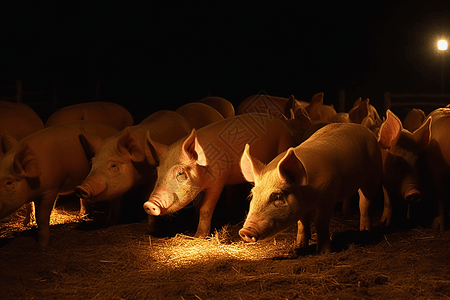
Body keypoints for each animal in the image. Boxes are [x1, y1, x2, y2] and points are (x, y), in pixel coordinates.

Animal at [144, 112, 298, 237]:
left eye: (180, 173)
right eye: (158, 172)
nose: (148, 204)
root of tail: (285, 124)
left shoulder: (218, 182)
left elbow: (205, 209)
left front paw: (199, 237)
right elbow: (197, 208)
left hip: (284, 143)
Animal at [239, 123, 384, 254]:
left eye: (277, 196)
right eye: (252, 195)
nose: (245, 231)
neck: (308, 197)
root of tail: (363, 127)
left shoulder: (328, 195)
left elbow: (319, 222)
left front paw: (323, 253)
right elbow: (301, 223)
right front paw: (299, 246)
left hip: (374, 172)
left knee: (365, 202)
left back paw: (365, 231)